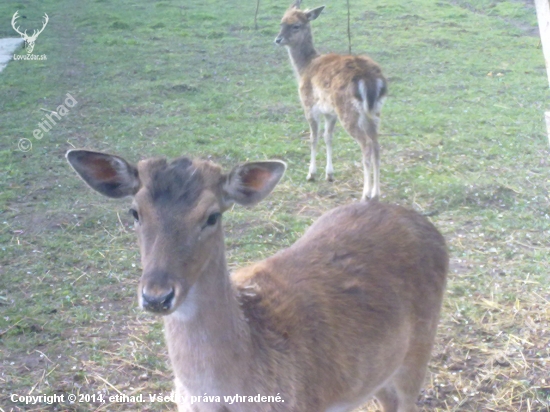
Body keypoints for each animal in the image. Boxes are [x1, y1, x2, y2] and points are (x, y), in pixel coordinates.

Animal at [276, 1, 388, 201]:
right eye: (281, 22)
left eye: (296, 25)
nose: (278, 39)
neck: (304, 68)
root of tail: (369, 79)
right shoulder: (330, 112)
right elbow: (328, 137)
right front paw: (329, 174)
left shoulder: (309, 105)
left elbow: (313, 137)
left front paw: (311, 174)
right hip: (374, 111)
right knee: (376, 144)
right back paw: (376, 193)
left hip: (348, 112)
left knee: (366, 145)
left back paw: (365, 194)